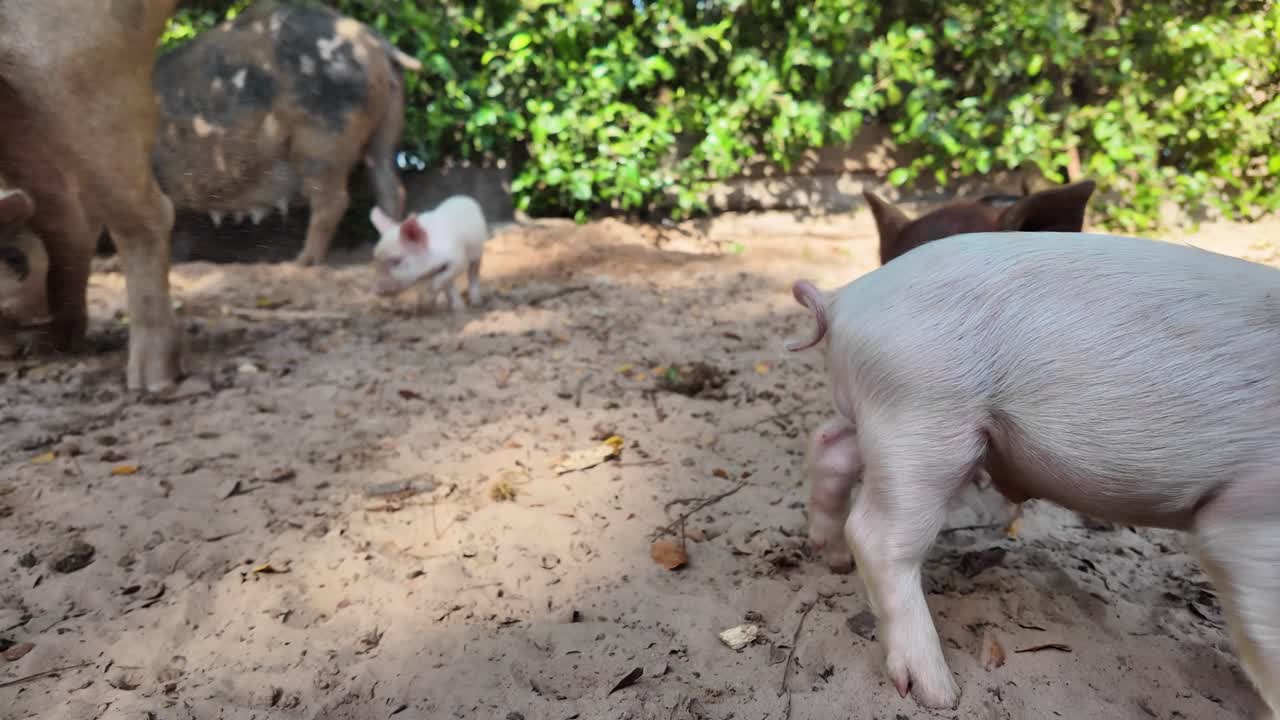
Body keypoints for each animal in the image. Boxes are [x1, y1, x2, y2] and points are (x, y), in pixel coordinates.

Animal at [0, 0, 181, 392]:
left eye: (13, 257)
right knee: (73, 217)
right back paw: (48, 344)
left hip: (68, 60)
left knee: (149, 212)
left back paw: (150, 382)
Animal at [151, 2, 422, 266]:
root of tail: (372, 39)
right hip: (387, 126)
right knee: (390, 185)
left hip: (323, 138)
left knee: (333, 200)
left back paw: (302, 262)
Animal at [787, 231, 1280, 717]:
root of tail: (844, 297)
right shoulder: (1249, 514)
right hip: (922, 420)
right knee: (878, 535)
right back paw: (940, 693)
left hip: (880, 416)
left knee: (829, 447)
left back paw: (832, 558)